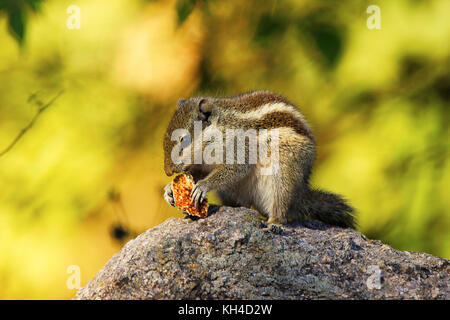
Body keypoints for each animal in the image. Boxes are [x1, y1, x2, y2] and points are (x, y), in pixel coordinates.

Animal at [162, 90, 356, 228]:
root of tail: (301, 197)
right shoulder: (200, 166)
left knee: (282, 208)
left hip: (283, 172)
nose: (167, 171)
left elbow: (234, 169)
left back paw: (274, 223)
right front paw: (169, 190)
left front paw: (203, 185)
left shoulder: (240, 147)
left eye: (183, 139)